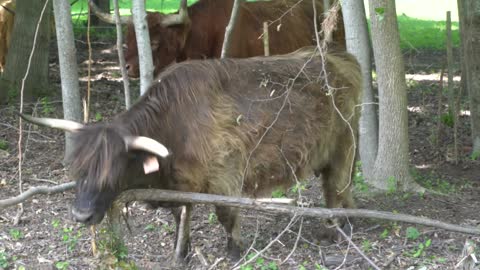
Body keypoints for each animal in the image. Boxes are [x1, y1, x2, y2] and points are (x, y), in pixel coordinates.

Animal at [20, 47, 362, 260]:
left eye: (113, 170)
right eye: (77, 168)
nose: (81, 215)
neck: (174, 125)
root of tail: (339, 56)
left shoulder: (226, 174)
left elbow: (226, 215)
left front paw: (234, 251)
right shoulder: (179, 184)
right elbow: (180, 216)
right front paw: (181, 252)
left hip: (343, 146)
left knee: (337, 186)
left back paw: (338, 229)